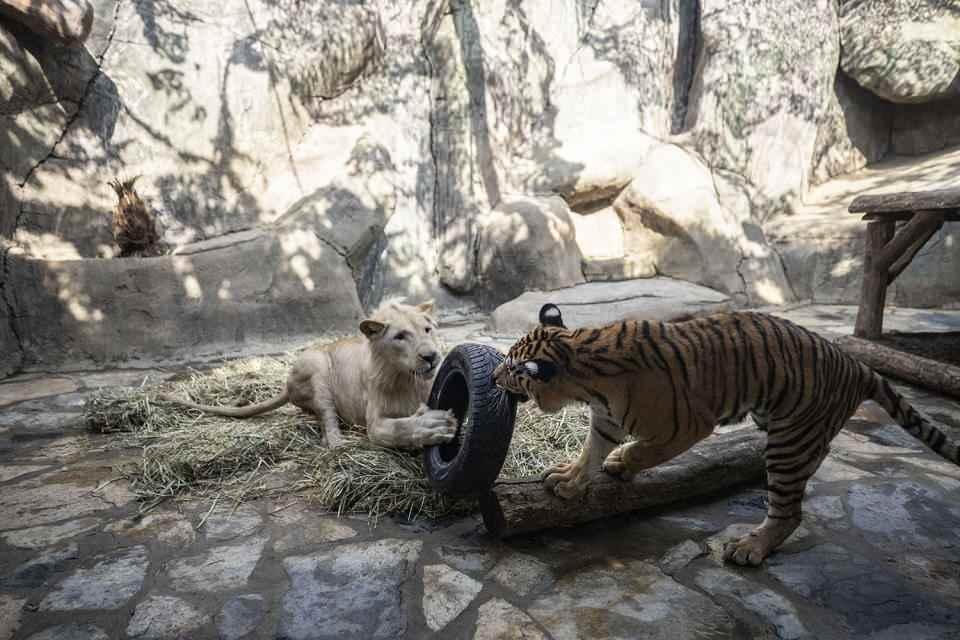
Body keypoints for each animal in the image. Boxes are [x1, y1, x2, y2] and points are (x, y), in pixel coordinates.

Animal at [492, 304, 956, 564]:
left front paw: (620, 463)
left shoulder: (688, 426)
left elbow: (644, 451)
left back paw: (751, 549)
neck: (583, 360)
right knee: (816, 459)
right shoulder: (605, 419)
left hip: (787, 442)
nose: (495, 374)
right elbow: (589, 452)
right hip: (782, 422)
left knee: (789, 509)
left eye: (513, 369)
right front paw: (568, 481)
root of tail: (859, 366)